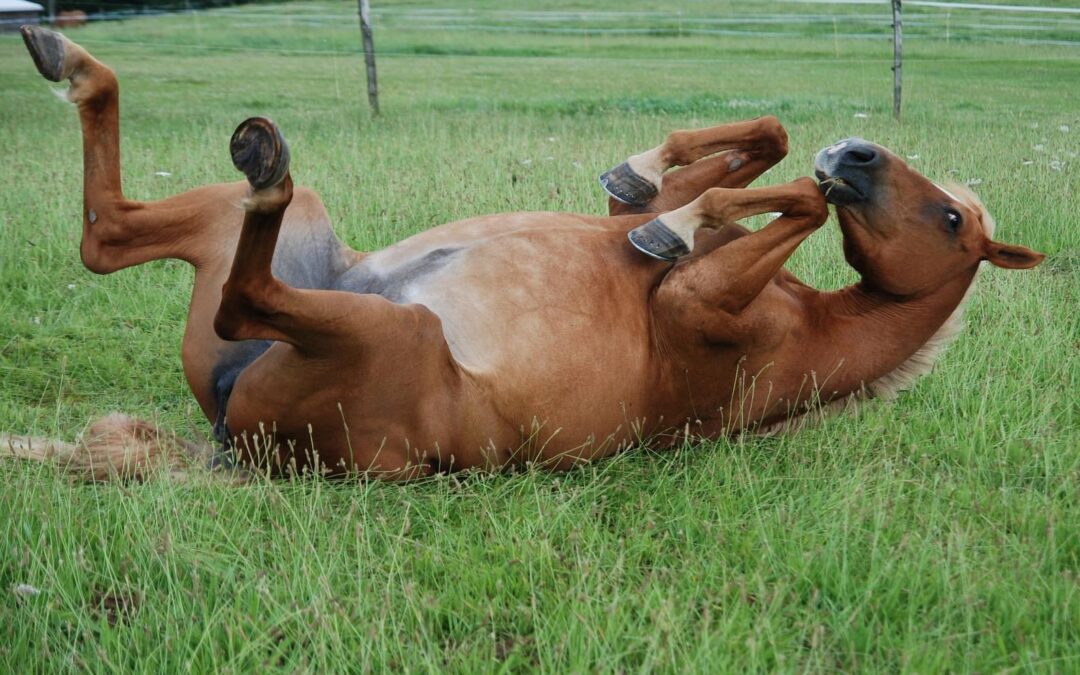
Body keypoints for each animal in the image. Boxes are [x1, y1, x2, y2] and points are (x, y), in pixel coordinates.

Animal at [5, 27, 1044, 481]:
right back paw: (67, 56)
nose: (857, 154)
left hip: (387, 333)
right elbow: (758, 149)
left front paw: (674, 224)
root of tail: (227, 441)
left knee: (237, 287)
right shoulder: (664, 235)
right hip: (298, 240)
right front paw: (649, 180)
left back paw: (261, 163)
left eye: (954, 223)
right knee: (106, 235)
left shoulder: (694, 309)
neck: (810, 330)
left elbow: (786, 201)